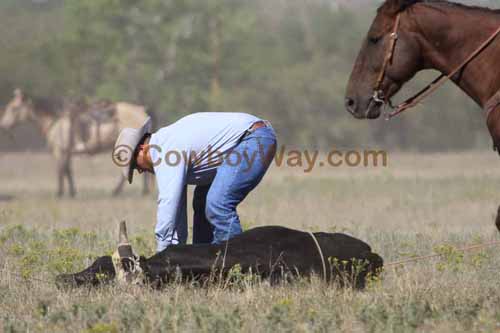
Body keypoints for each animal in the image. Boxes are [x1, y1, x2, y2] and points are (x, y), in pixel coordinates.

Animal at [0, 89, 152, 197]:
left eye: (14, 108)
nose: (4, 125)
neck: (55, 121)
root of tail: (141, 110)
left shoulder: (59, 151)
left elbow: (61, 170)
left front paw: (60, 193)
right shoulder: (66, 152)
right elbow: (68, 170)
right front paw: (72, 192)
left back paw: (125, 191)